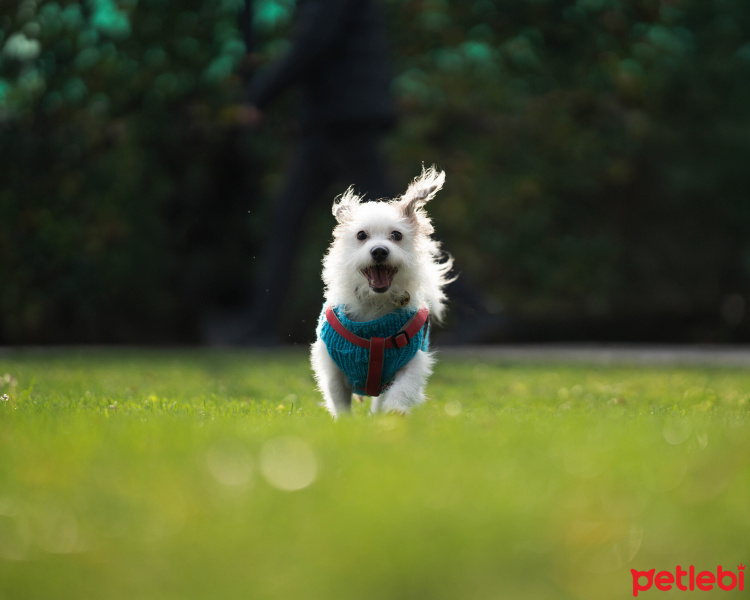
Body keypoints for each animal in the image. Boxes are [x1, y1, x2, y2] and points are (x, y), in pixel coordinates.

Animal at [310, 164, 452, 418]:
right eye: (361, 235)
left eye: (396, 235)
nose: (379, 251)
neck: (374, 307)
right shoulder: (331, 364)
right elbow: (340, 401)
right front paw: (343, 424)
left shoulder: (411, 361)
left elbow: (402, 390)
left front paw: (394, 415)